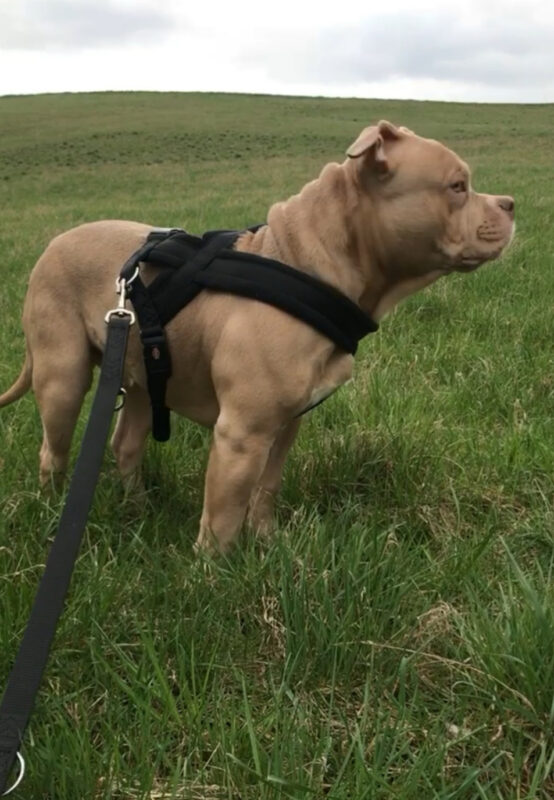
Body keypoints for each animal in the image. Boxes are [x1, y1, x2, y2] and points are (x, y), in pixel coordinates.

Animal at [0, 121, 514, 553]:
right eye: (457, 187)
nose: (510, 203)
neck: (307, 264)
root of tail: (53, 243)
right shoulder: (241, 436)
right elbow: (222, 517)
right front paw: (212, 577)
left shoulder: (284, 425)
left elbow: (266, 489)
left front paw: (267, 543)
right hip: (63, 378)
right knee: (53, 450)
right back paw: (52, 512)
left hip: (146, 376)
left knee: (126, 444)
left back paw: (137, 508)